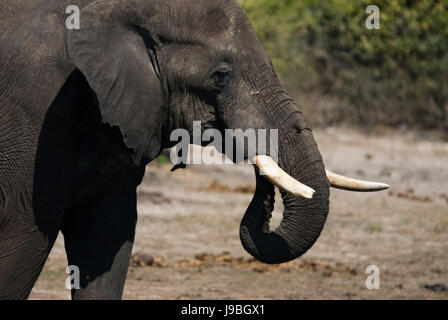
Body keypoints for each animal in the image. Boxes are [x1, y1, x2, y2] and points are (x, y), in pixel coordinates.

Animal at [0, 0, 388, 300]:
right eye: (221, 75)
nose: (263, 186)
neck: (117, 10)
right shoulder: (37, 111)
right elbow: (25, 234)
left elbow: (107, 237)